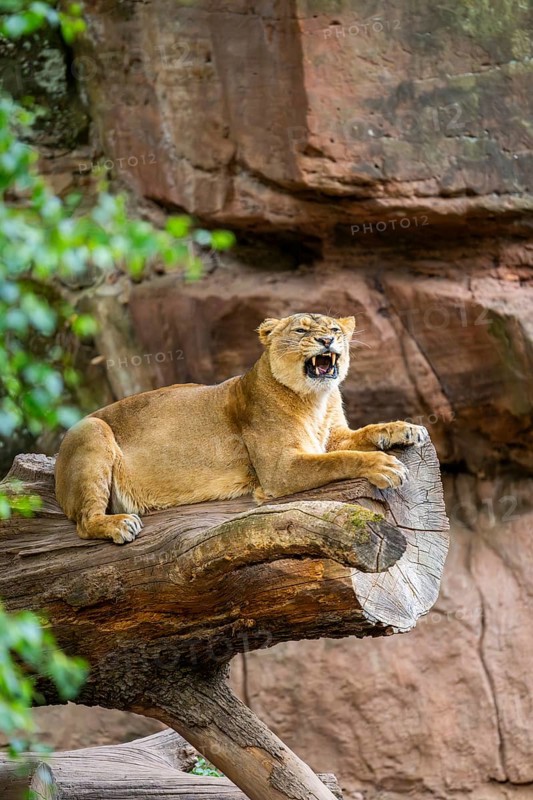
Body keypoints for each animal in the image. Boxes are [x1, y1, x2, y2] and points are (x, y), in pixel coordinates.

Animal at [55, 312, 428, 544]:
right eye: (301, 331)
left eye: (335, 330)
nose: (326, 341)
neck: (316, 400)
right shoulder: (280, 470)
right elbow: (340, 460)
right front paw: (383, 466)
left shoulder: (334, 435)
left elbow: (363, 434)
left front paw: (406, 429)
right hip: (91, 430)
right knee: (84, 522)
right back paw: (118, 524)